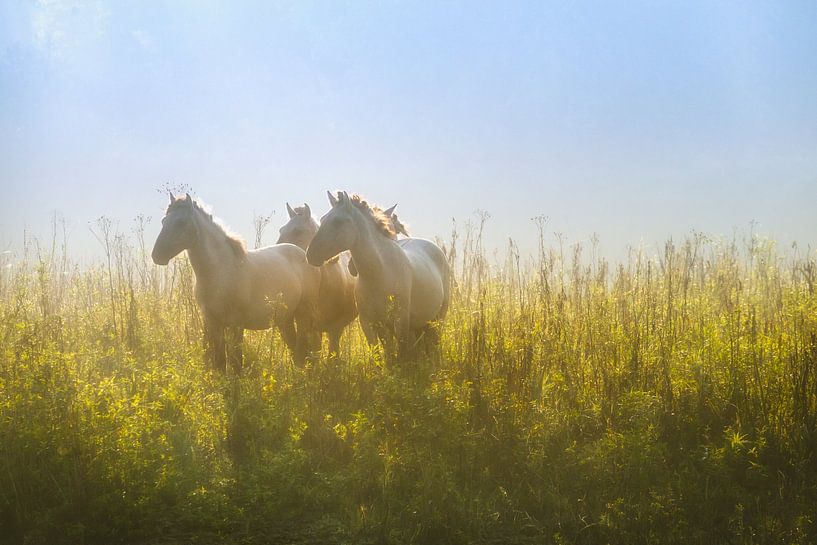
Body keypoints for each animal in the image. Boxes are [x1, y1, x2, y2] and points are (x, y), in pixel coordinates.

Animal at [151, 192, 320, 370]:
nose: (157, 255)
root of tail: (304, 255)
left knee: (302, 348)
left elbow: (236, 362)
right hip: (285, 319)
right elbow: (220, 362)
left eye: (181, 222)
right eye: (163, 221)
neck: (220, 271)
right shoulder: (213, 324)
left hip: (303, 315)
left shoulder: (235, 325)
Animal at [306, 192, 450, 362]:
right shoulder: (370, 323)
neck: (379, 272)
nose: (311, 254)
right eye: (322, 219)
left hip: (438, 319)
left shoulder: (400, 322)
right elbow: (382, 355)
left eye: (338, 221)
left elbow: (401, 354)